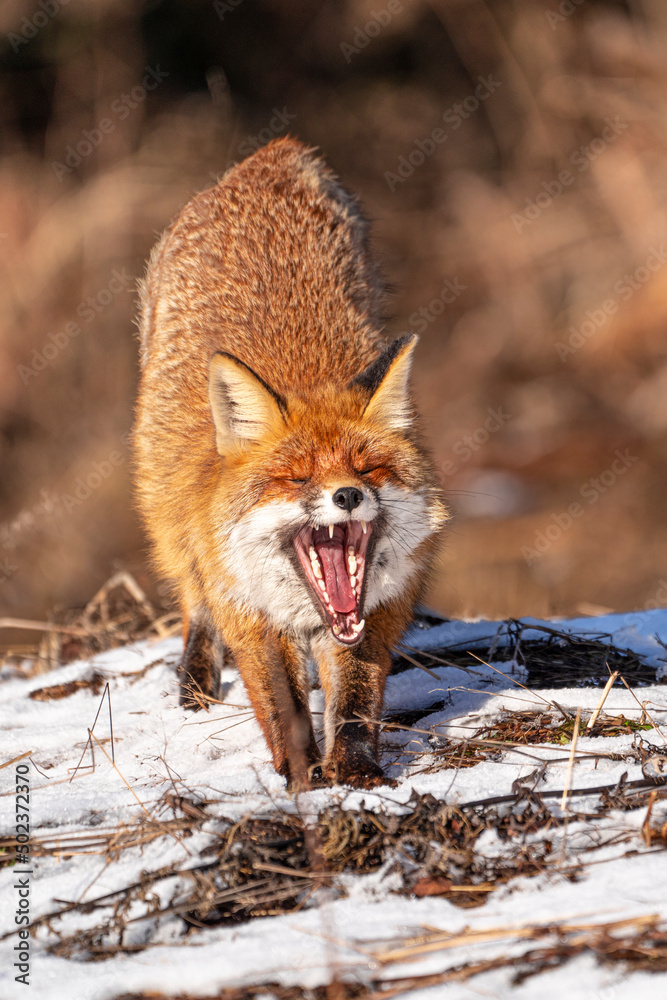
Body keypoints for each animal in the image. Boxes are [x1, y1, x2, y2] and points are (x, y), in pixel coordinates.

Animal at [132, 135, 446, 788]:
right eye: (296, 477)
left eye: (367, 468)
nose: (347, 495)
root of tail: (272, 153)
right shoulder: (249, 615)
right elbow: (283, 705)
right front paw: (302, 777)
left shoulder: (371, 617)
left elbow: (354, 704)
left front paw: (355, 772)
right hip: (163, 501)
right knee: (192, 598)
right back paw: (195, 685)